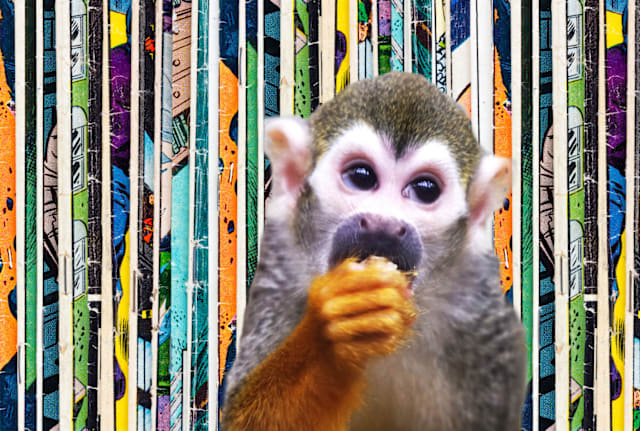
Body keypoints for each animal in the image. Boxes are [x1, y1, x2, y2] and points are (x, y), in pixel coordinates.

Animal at [222, 72, 527, 431]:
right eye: (361, 177)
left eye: (425, 190)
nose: (384, 225)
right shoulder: (282, 270)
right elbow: (246, 418)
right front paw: (332, 336)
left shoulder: (478, 317)